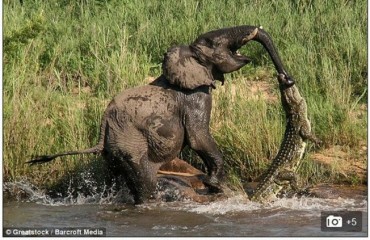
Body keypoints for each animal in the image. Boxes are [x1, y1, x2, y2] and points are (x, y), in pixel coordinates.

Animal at [26, 24, 294, 204]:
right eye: (210, 42)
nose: (287, 79)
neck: (187, 56)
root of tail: (104, 126)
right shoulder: (195, 97)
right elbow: (198, 137)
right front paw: (215, 186)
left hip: (113, 150)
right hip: (130, 142)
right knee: (145, 181)